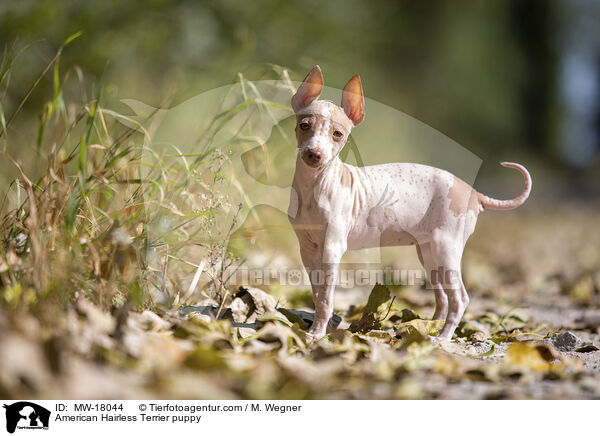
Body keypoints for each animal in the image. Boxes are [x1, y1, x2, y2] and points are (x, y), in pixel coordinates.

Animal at [288, 66, 532, 342]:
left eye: (337, 135)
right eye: (304, 126)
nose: (314, 154)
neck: (314, 186)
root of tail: (472, 192)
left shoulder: (332, 247)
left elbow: (326, 296)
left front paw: (316, 333)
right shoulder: (308, 249)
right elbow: (318, 293)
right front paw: (324, 325)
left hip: (446, 247)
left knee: (460, 298)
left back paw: (442, 337)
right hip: (428, 253)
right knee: (443, 297)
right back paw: (428, 327)